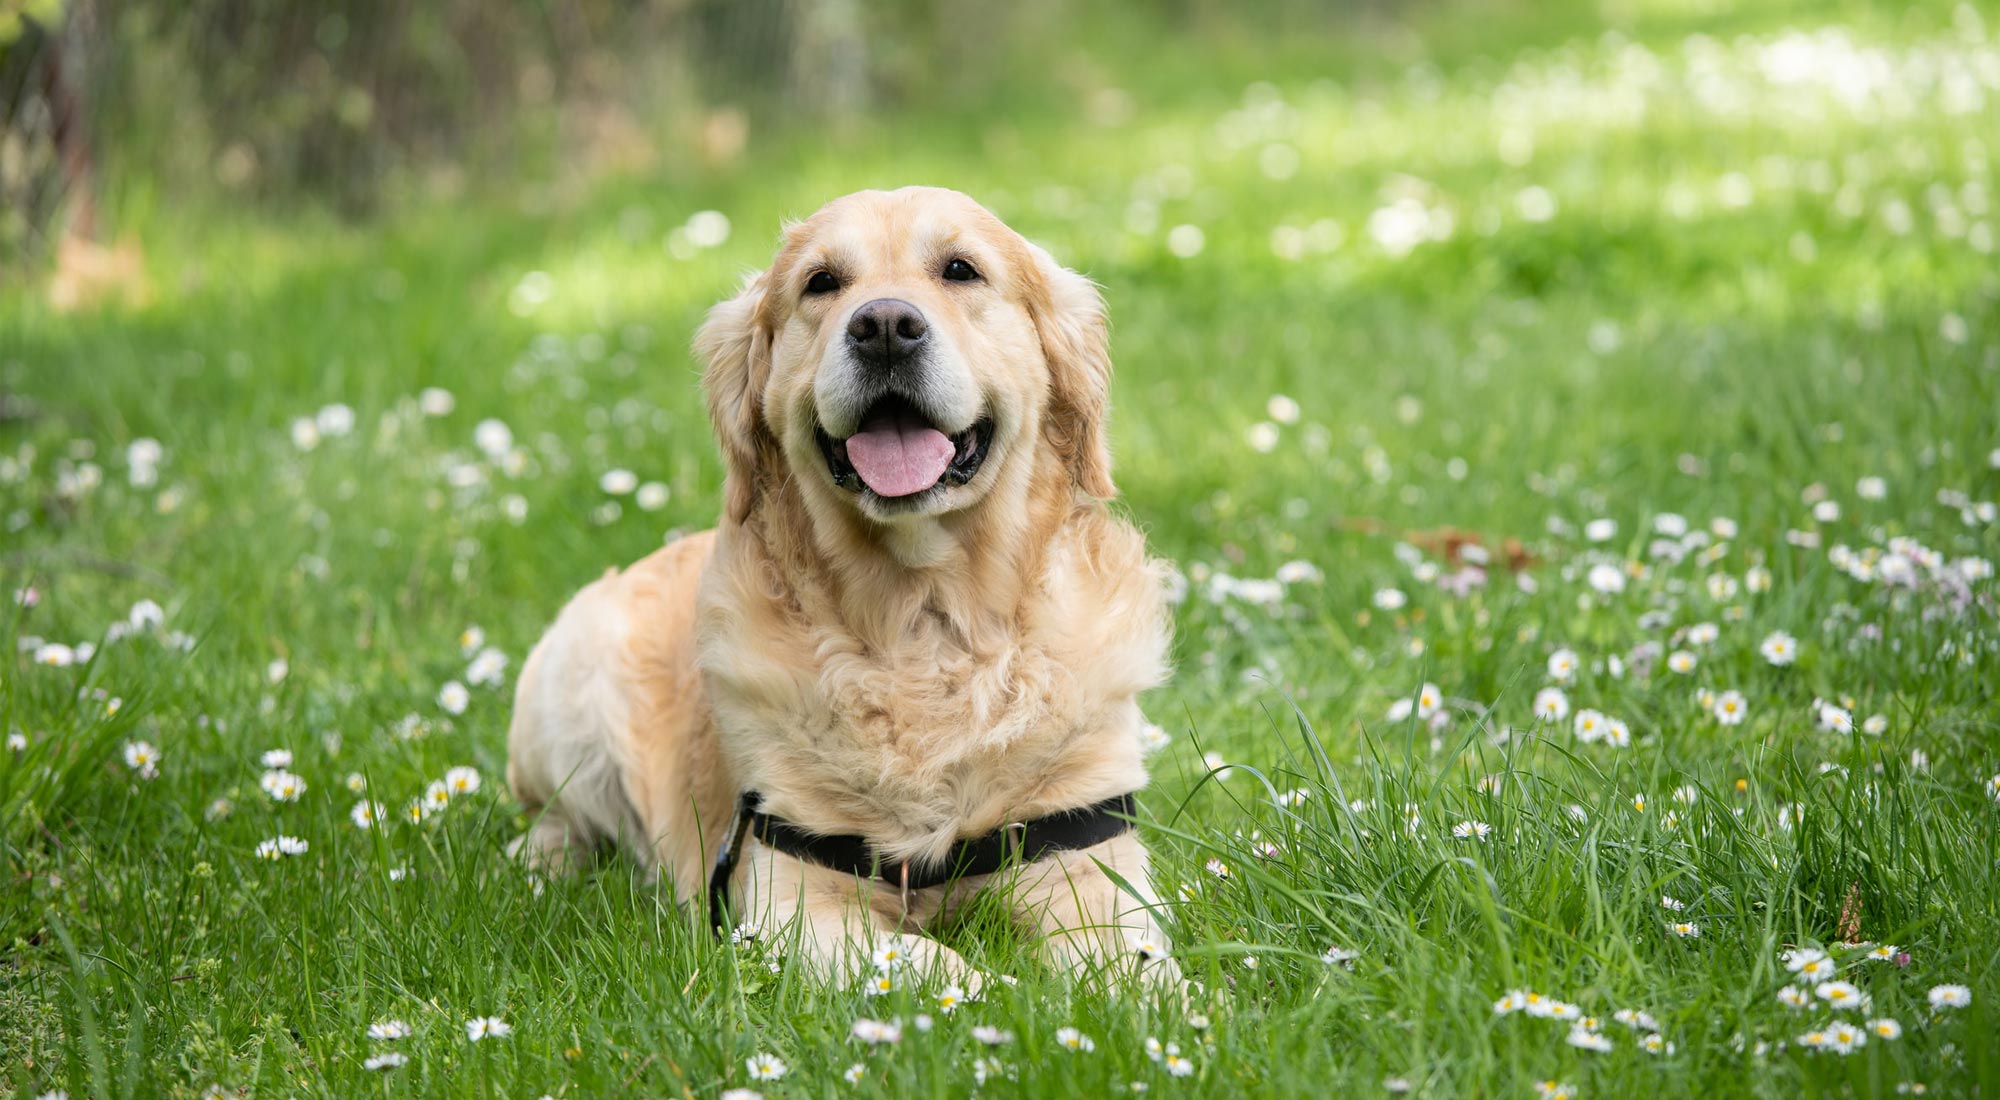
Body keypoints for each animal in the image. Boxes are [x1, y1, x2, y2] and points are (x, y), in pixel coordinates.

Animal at [508, 183, 1176, 992]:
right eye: (821, 283)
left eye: (961, 269)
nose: (885, 326)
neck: (924, 622)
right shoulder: (790, 901)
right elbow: (937, 966)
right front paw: (1007, 999)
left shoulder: (1087, 859)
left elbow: (1133, 969)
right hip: (567, 688)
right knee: (555, 818)